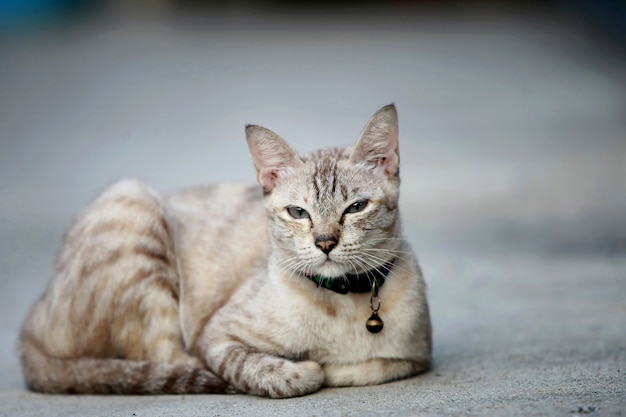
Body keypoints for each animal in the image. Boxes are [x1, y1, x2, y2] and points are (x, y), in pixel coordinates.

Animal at [19, 103, 428, 396]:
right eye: (298, 213)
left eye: (355, 207)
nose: (325, 243)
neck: (345, 302)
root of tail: (32, 317)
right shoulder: (214, 338)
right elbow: (287, 373)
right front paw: (308, 367)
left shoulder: (415, 357)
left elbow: (376, 366)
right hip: (132, 199)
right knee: (159, 364)